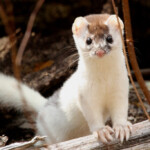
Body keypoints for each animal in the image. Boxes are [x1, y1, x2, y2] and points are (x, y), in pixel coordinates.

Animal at [0, 13, 131, 144]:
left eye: (109, 38)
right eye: (88, 40)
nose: (99, 51)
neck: (104, 80)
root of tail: (45, 104)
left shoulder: (121, 88)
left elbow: (120, 111)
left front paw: (122, 128)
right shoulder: (84, 94)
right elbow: (93, 116)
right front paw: (101, 131)